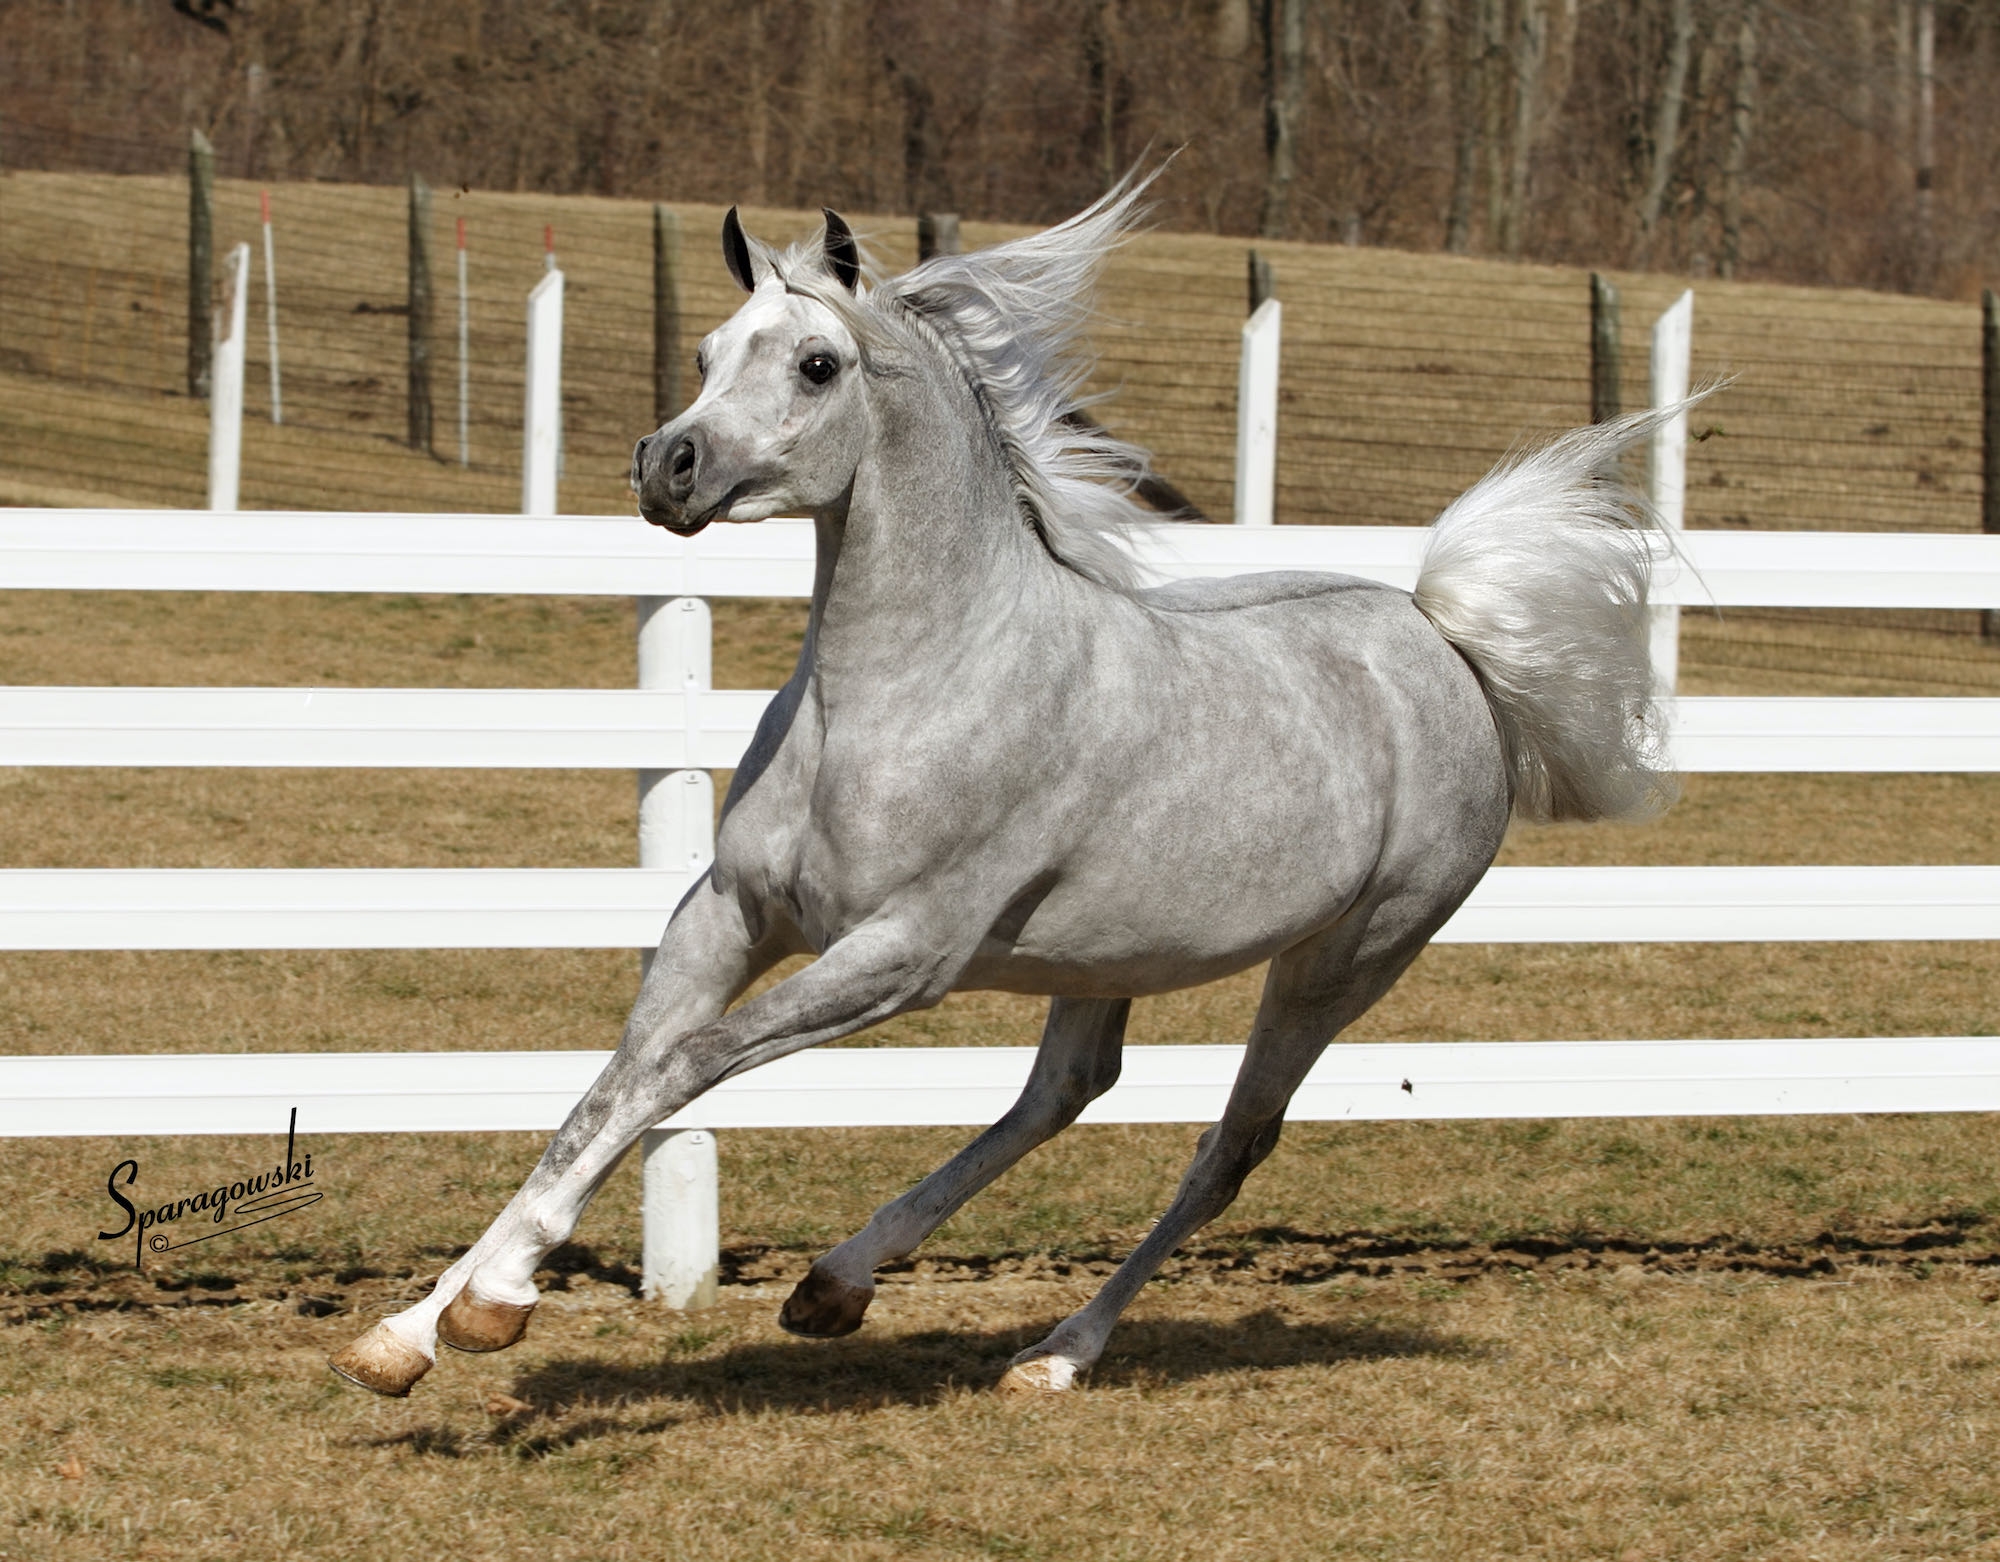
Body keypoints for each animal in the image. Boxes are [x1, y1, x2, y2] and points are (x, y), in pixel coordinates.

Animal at [330, 176, 1673, 1399]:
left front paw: (496, 1303)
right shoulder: (728, 913)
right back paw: (834, 1285)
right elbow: (612, 1083)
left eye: (816, 363)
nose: (668, 464)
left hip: (1346, 957)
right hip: (1109, 951)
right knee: (1065, 1090)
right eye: (707, 351)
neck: (904, 689)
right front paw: (410, 1332)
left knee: (1228, 1144)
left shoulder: (900, 952)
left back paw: (1057, 1353)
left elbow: (682, 1066)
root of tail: (1441, 640)